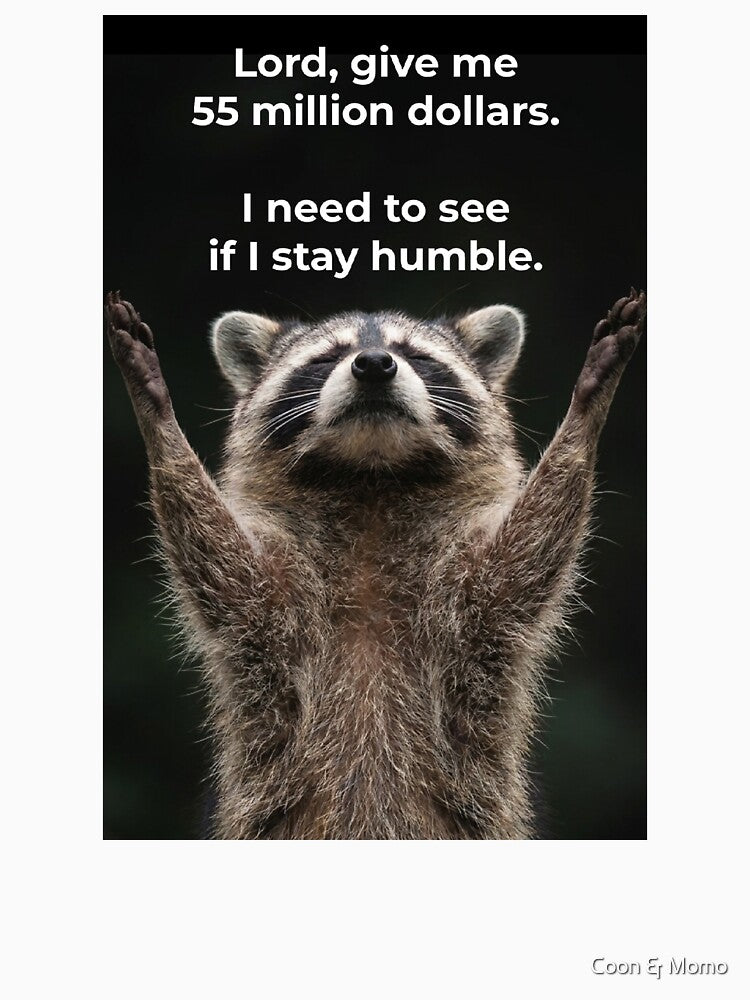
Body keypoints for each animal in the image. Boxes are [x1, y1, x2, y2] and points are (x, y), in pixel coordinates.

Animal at [105, 288, 645, 839]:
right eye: (325, 358)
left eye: (416, 355)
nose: (373, 364)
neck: (372, 481)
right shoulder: (270, 609)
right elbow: (219, 560)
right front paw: (159, 422)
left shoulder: (470, 608)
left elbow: (524, 557)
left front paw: (585, 416)